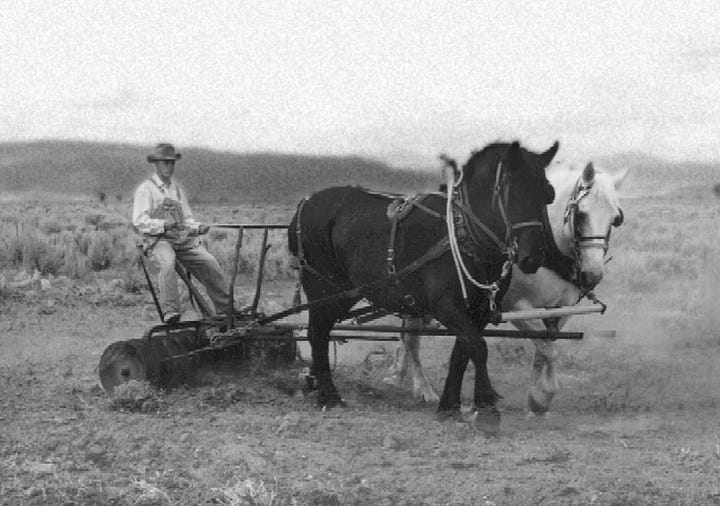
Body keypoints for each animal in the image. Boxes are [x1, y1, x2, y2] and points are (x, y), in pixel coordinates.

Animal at [288, 140, 559, 425]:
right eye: (512, 192)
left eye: (547, 193)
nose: (533, 256)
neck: (464, 234)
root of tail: (305, 204)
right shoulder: (444, 305)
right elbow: (478, 347)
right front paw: (487, 409)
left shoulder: (480, 310)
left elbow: (462, 351)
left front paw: (449, 406)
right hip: (324, 289)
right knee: (317, 334)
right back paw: (329, 396)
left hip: (345, 293)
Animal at [384, 160, 629, 414]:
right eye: (581, 214)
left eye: (616, 218)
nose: (592, 274)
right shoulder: (517, 307)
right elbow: (547, 348)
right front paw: (542, 397)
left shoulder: (561, 309)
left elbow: (543, 348)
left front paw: (534, 396)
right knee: (412, 340)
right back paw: (424, 389)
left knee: (409, 336)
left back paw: (401, 375)